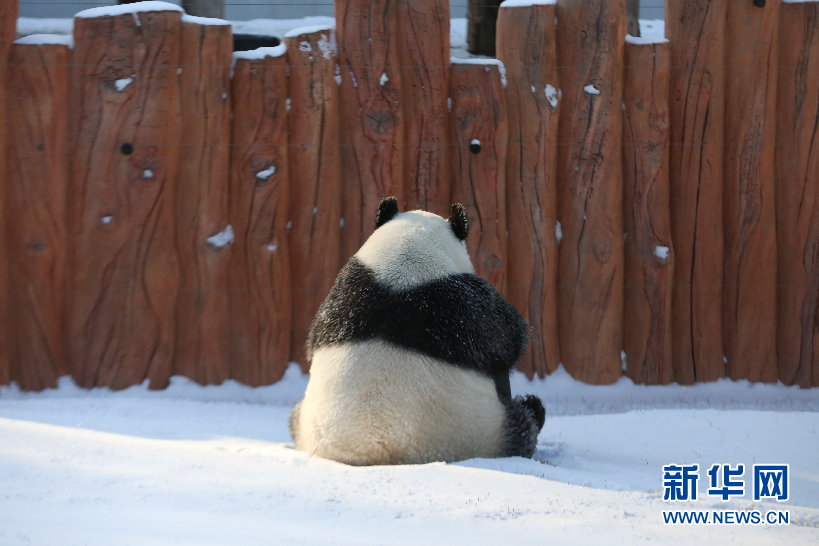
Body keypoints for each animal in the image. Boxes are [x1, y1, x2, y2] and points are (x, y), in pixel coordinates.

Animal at [288, 196, 544, 464]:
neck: (407, 257)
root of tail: (374, 452)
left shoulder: (343, 290)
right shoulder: (467, 305)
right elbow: (508, 339)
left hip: (303, 419)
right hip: (484, 430)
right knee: (524, 423)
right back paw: (532, 408)